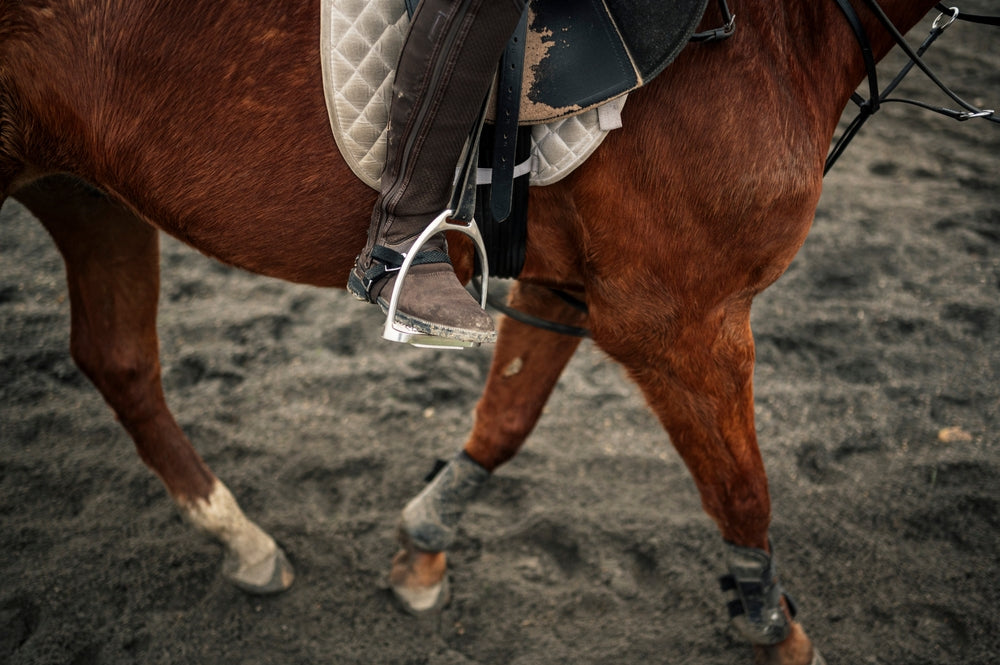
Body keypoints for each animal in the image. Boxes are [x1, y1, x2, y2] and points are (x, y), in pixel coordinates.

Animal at [0, 1, 983, 663]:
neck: (774, 33)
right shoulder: (679, 317)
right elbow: (743, 491)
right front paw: (777, 631)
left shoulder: (573, 286)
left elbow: (507, 416)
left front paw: (424, 545)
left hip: (83, 188)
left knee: (118, 358)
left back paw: (241, 538)